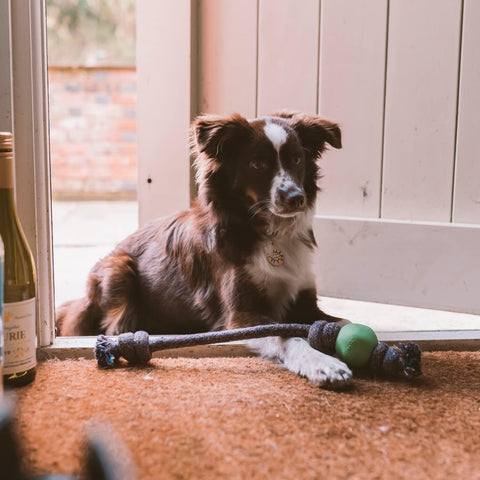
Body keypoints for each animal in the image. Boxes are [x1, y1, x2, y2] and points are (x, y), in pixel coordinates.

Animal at [57, 113, 352, 390]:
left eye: (297, 159)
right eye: (257, 164)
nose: (296, 198)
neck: (267, 232)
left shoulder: (305, 301)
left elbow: (344, 322)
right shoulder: (242, 315)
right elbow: (288, 335)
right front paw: (323, 364)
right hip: (119, 269)